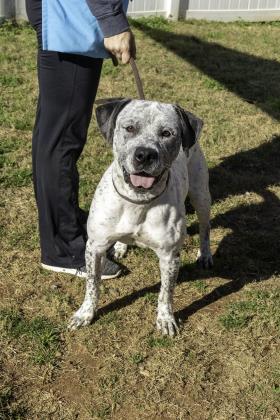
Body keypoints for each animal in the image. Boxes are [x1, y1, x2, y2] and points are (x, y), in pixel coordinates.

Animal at [68, 97, 212, 334]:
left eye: (167, 133)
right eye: (129, 128)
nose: (145, 154)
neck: (137, 200)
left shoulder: (170, 257)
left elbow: (166, 293)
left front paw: (166, 319)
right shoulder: (94, 247)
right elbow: (92, 284)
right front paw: (85, 314)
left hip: (201, 195)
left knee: (205, 227)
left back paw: (206, 254)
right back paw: (120, 246)